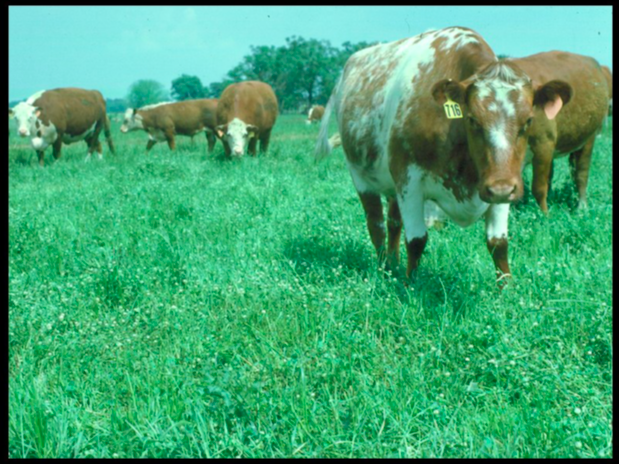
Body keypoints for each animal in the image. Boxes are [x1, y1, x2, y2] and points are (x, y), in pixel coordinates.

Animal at [314, 26, 572, 286]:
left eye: (528, 120)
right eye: (472, 119)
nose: (499, 188)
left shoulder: (505, 183)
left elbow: (498, 243)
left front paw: (506, 289)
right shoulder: (409, 181)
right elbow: (416, 240)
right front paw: (411, 286)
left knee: (393, 222)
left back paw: (393, 264)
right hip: (361, 176)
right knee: (376, 223)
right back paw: (383, 268)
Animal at [512, 51, 612, 211]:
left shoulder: (543, 144)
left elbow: (538, 187)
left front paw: (543, 214)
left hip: (588, 139)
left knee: (581, 173)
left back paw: (581, 207)